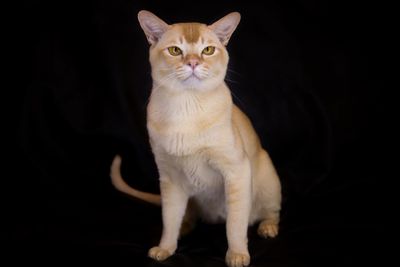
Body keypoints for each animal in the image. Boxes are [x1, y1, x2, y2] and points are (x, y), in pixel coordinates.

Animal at [110, 9, 282, 267]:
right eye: (175, 50)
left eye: (208, 50)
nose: (193, 63)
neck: (186, 107)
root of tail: (213, 217)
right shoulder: (169, 177)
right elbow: (169, 219)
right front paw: (165, 248)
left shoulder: (236, 171)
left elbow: (235, 224)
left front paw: (237, 254)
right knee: (185, 217)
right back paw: (183, 230)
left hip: (267, 179)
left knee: (269, 212)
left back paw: (268, 228)